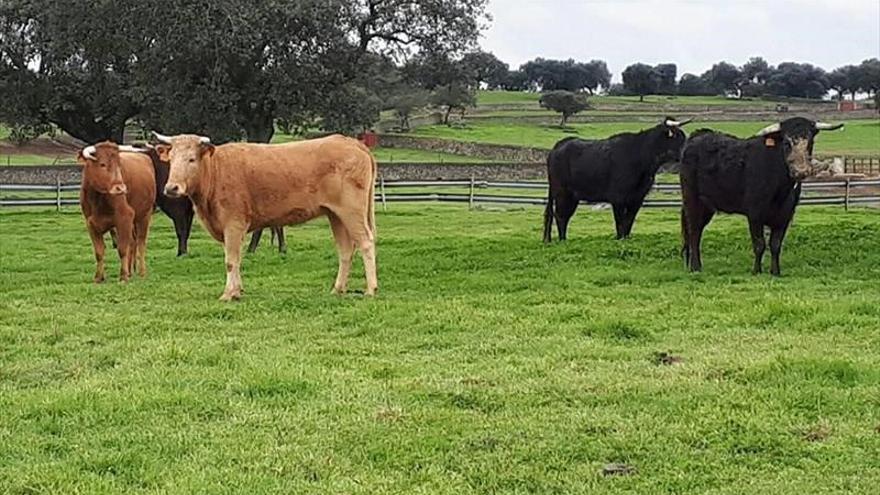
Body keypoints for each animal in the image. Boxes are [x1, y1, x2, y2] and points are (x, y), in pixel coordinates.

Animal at [78, 143, 156, 282]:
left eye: (119, 166)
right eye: (102, 164)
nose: (121, 188)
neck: (98, 200)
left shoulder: (124, 218)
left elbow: (122, 249)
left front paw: (123, 276)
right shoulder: (90, 224)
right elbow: (99, 252)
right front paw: (98, 277)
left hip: (144, 216)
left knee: (141, 243)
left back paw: (141, 272)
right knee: (133, 242)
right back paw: (130, 271)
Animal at [156, 134, 376, 300]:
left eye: (191, 159)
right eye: (171, 159)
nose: (172, 188)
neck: (216, 171)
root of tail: (351, 142)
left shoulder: (233, 224)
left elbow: (231, 260)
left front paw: (228, 293)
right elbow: (235, 259)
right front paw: (237, 290)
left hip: (352, 212)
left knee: (366, 243)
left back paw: (371, 289)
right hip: (336, 215)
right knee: (345, 250)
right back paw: (338, 289)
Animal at [540, 116, 692, 240]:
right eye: (678, 138)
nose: (688, 151)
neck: (640, 155)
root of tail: (558, 146)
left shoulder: (637, 199)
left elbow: (628, 222)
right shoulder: (618, 198)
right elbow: (620, 223)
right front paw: (620, 239)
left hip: (572, 197)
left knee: (564, 216)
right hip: (562, 193)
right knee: (560, 216)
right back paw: (562, 240)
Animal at [676, 118, 844, 278]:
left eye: (810, 142)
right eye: (786, 142)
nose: (801, 171)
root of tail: (698, 135)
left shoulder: (785, 216)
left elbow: (775, 245)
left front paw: (775, 271)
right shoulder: (755, 215)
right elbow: (759, 244)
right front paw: (756, 271)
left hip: (707, 207)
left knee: (697, 231)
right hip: (692, 200)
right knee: (694, 232)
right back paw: (695, 267)